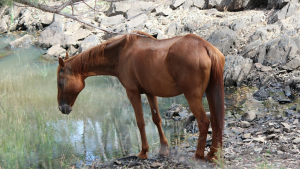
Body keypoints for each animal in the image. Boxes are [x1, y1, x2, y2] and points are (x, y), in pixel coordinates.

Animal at [56, 31, 225, 162]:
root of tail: (205, 46)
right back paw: (212, 154)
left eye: (60, 82)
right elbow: (156, 119)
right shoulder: (150, 93)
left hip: (193, 97)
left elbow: (140, 122)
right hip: (211, 93)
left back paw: (198, 155)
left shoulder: (132, 93)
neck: (122, 53)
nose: (62, 108)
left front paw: (143, 152)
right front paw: (164, 150)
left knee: (204, 122)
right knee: (216, 120)